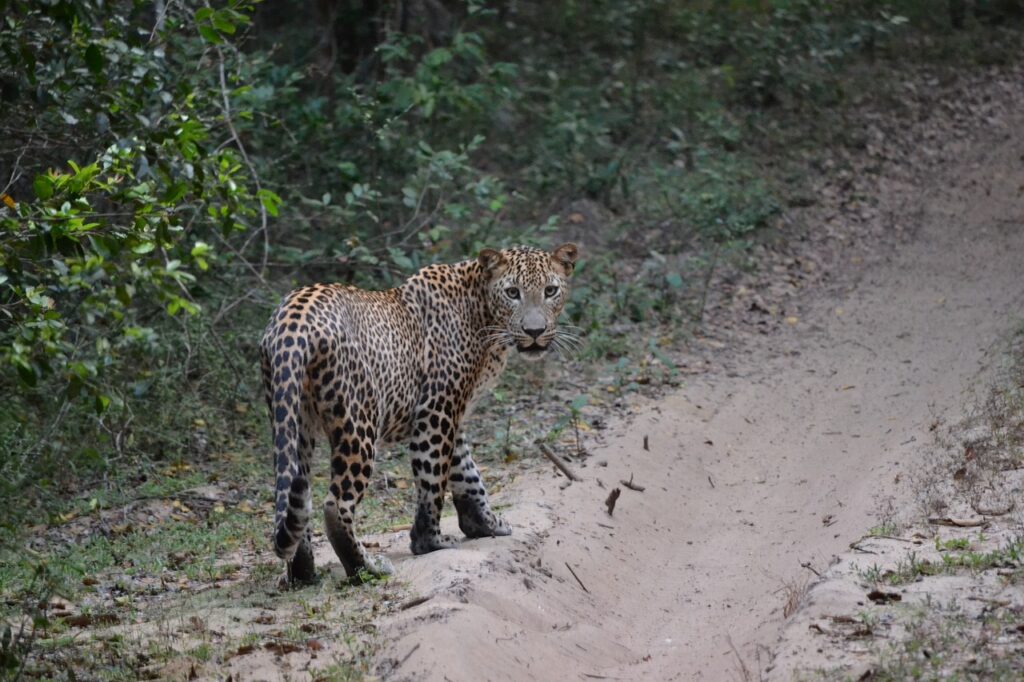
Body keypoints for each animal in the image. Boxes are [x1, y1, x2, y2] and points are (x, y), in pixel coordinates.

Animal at [260, 241, 581, 581]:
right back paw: (366, 568)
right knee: (336, 504)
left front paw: (485, 524)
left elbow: (467, 474)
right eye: (512, 292)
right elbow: (433, 477)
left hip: (293, 420)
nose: (534, 331)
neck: (482, 312)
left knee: (294, 493)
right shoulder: (436, 410)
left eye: (550, 290)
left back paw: (302, 573)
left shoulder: (455, 415)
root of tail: (292, 321)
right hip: (358, 422)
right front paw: (429, 541)